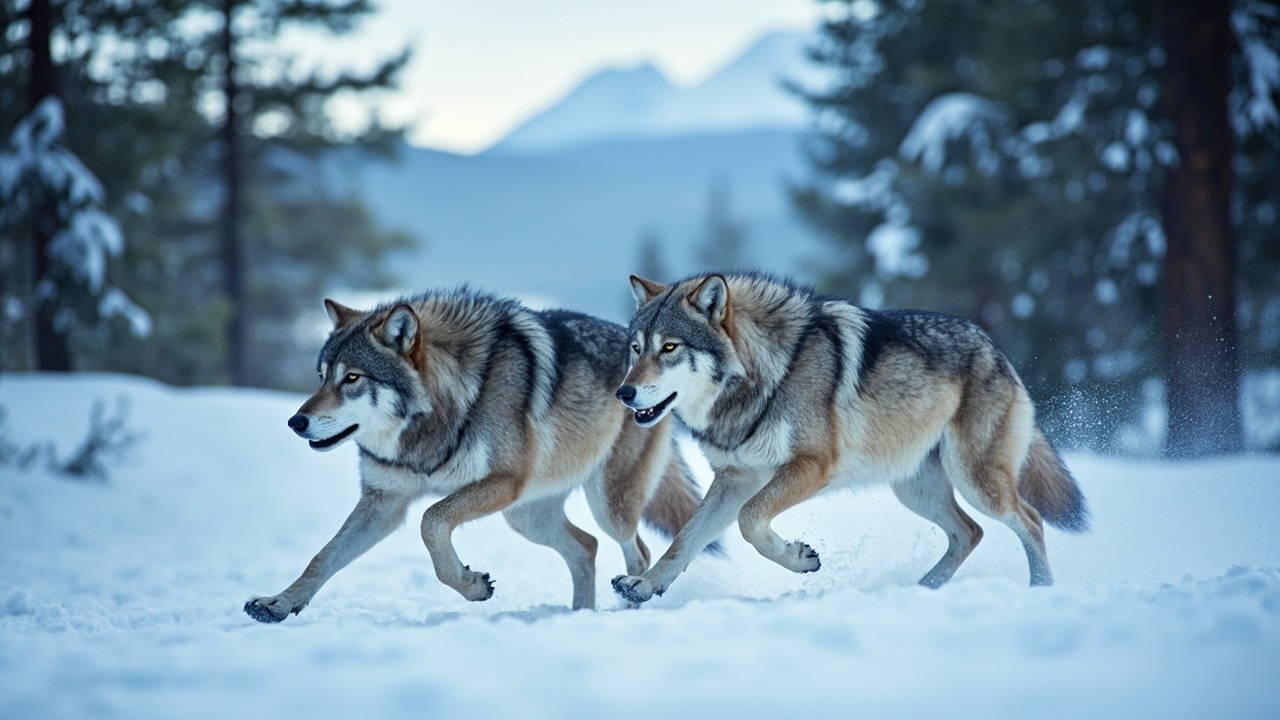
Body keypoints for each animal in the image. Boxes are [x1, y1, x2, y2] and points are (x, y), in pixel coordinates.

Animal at [244, 288, 703, 623]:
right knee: (586, 546)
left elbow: (431, 520)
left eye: (352, 378)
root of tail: (641, 360)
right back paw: (577, 617)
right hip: (526, 516)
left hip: (606, 505)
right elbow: (322, 558)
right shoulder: (383, 502)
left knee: (637, 551)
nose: (296, 421)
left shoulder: (501, 483)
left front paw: (472, 586)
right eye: (321, 377)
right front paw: (278, 603)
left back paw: (628, 605)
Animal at [611, 272, 1089, 605]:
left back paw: (1041, 590)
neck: (765, 376)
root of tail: (996, 348)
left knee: (1030, 519)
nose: (623, 393)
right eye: (636, 348)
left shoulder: (808, 467)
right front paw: (644, 586)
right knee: (970, 532)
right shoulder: (734, 479)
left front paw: (800, 557)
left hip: (975, 481)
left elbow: (750, 520)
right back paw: (921, 589)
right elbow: (683, 541)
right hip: (915, 490)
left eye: (669, 347)